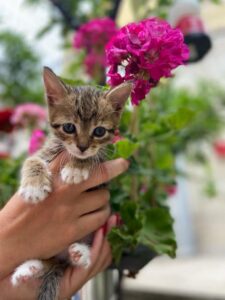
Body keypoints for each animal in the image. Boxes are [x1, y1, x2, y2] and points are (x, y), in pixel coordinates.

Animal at [11, 67, 132, 298]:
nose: (82, 147)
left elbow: (94, 158)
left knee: (70, 259)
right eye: (68, 127)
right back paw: (28, 270)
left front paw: (77, 167)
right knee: (50, 263)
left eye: (99, 131)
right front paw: (33, 186)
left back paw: (80, 254)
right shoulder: (45, 151)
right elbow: (31, 160)